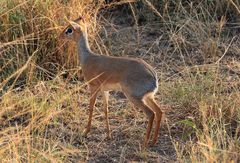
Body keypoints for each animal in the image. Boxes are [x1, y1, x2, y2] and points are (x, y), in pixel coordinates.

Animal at [59, 16, 163, 148]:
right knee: (159, 112)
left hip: (134, 97)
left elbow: (91, 108)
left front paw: (86, 132)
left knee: (151, 114)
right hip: (148, 97)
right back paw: (154, 141)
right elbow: (106, 110)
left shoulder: (93, 87)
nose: (59, 36)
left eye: (69, 30)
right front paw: (108, 135)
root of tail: (153, 76)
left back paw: (145, 143)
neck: (87, 58)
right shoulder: (105, 91)